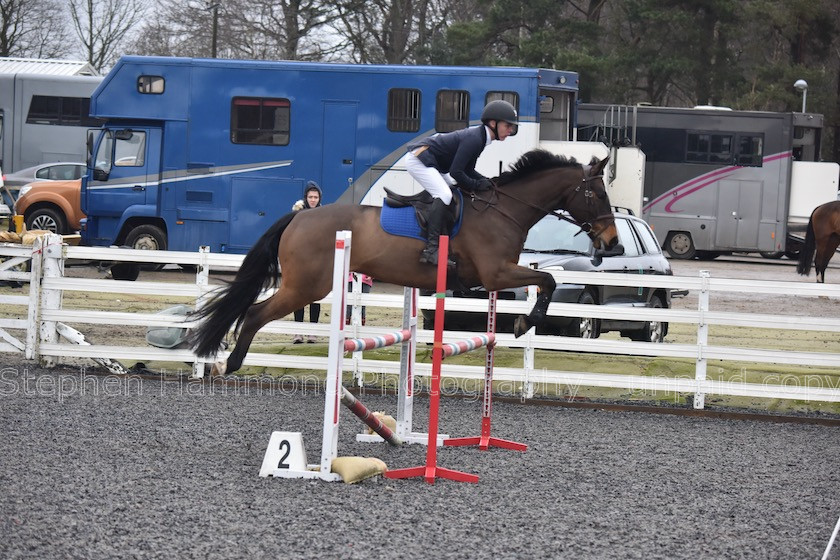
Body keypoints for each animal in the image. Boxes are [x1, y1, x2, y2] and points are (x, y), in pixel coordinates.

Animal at [189, 151, 616, 374]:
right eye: (597, 193)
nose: (611, 242)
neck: (504, 210)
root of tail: (297, 217)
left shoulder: (492, 279)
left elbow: (545, 281)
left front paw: (522, 322)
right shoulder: (496, 274)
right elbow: (548, 281)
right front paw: (525, 323)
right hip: (306, 286)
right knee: (255, 313)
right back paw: (231, 364)